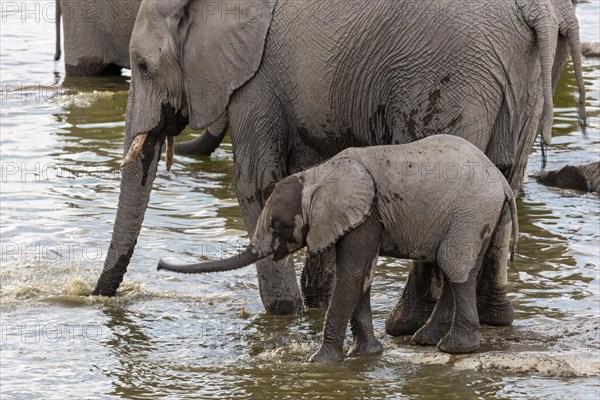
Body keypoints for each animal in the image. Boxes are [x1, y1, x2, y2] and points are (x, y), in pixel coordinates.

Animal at [92, 0, 584, 324]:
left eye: (143, 66)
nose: (95, 298)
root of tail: (539, 12)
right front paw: (314, 304)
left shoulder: (256, 78)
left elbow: (258, 183)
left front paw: (285, 313)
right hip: (524, 82)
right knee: (505, 183)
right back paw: (491, 320)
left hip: (454, 75)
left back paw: (404, 326)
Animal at [157, 135, 516, 362]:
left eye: (276, 225)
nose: (159, 265)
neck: (318, 174)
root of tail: (502, 182)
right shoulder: (361, 216)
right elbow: (362, 277)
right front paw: (366, 354)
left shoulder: (366, 214)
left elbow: (352, 274)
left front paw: (320, 361)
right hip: (477, 215)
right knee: (452, 267)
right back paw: (427, 341)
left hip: (471, 211)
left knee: (454, 265)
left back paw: (455, 349)